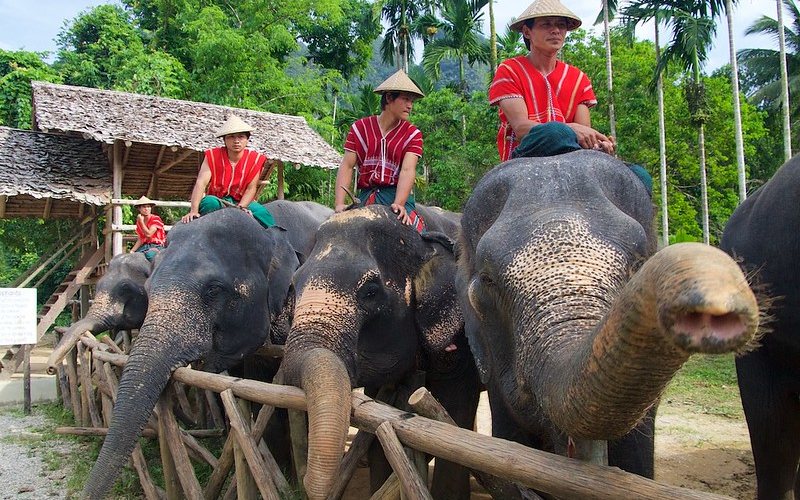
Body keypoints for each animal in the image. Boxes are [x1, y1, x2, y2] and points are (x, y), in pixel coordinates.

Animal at [282, 203, 482, 500]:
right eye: (293, 286)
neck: (421, 240)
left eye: (371, 292)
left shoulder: (461, 343)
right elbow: (380, 424)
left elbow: (455, 426)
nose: (305, 481)